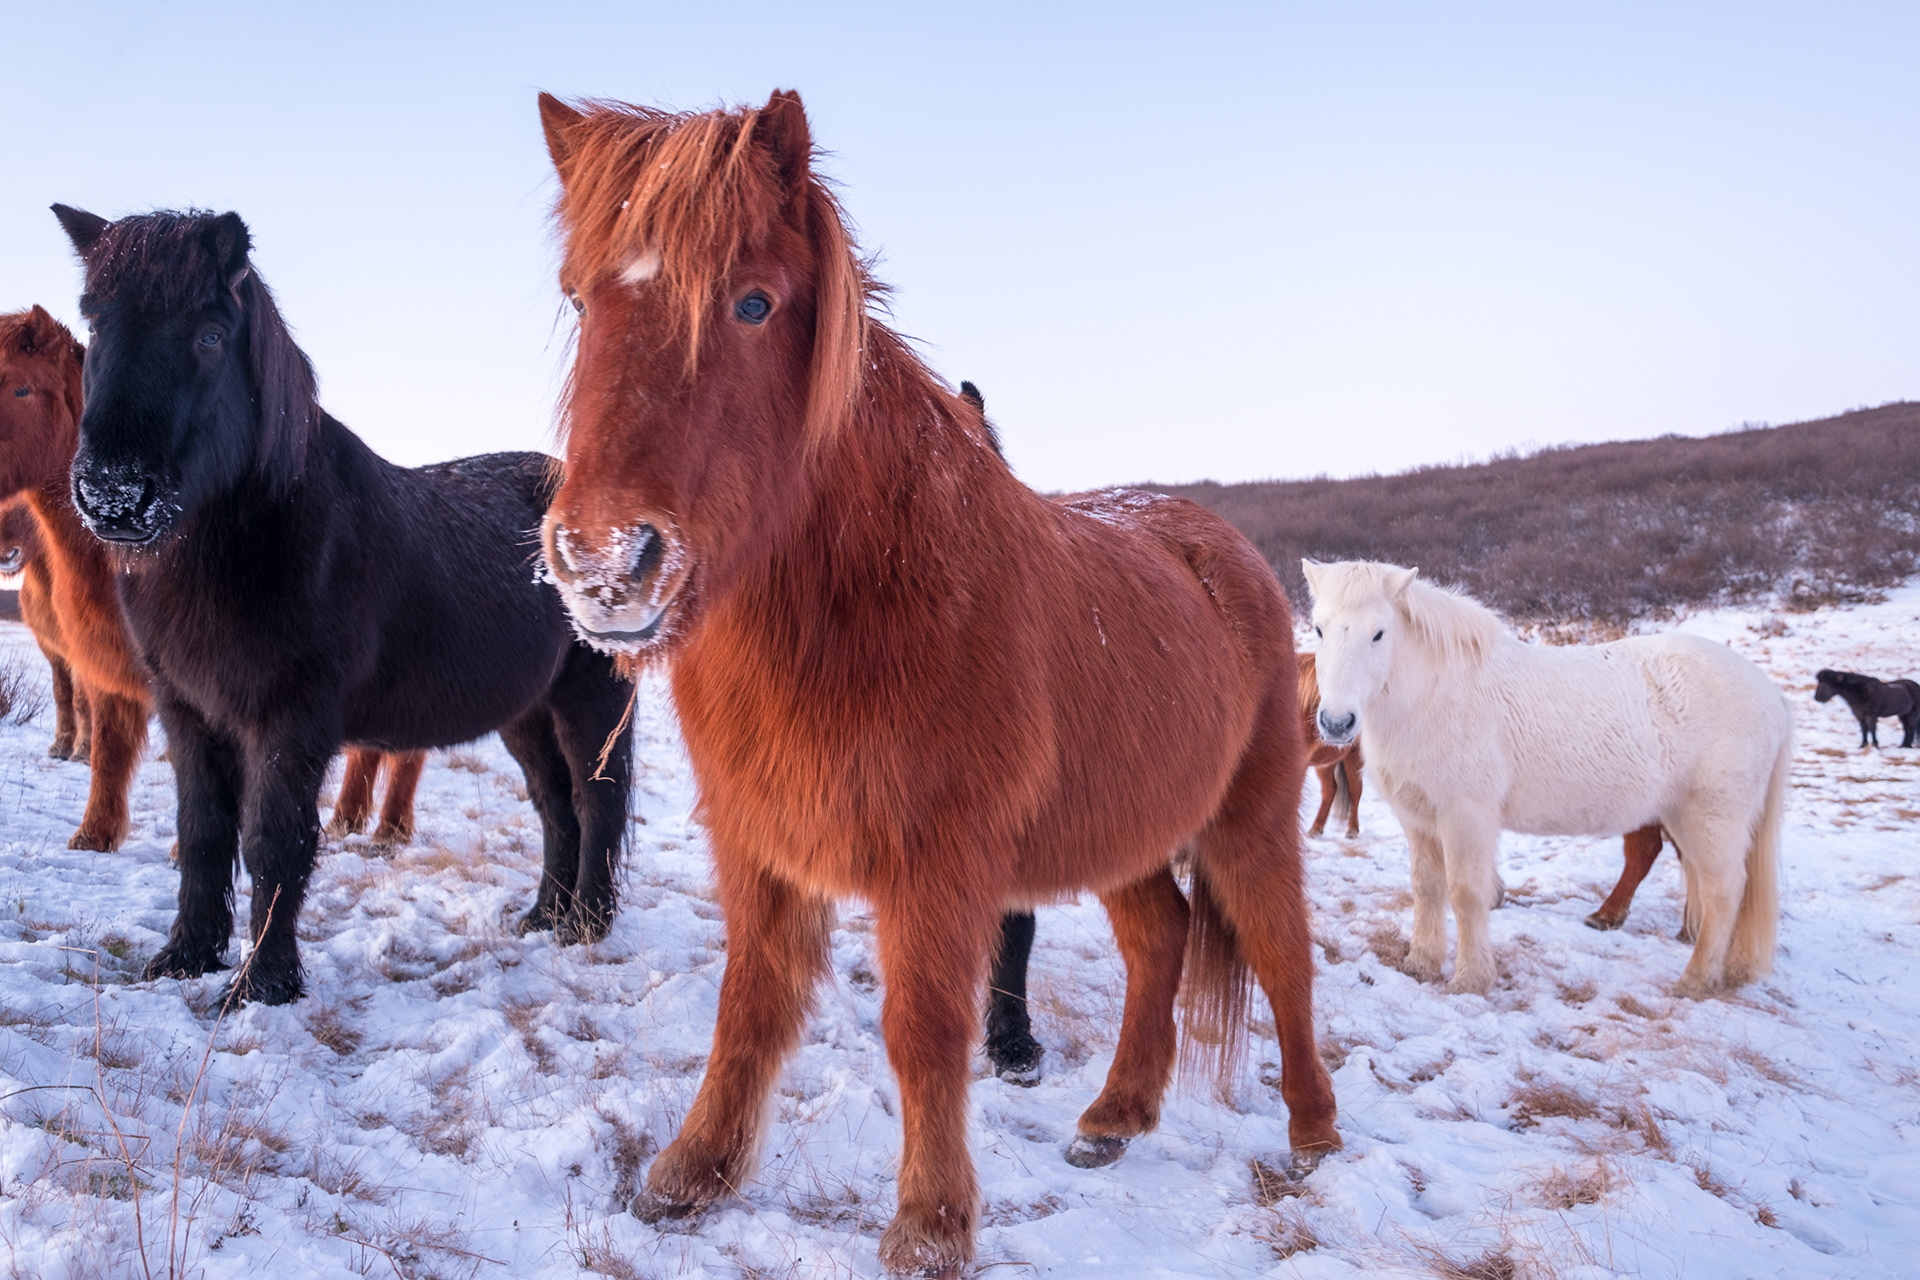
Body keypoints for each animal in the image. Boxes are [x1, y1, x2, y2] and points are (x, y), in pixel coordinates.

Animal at [0, 495, 92, 759]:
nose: (5, 555)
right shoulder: (53, 650)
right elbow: (62, 695)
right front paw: (60, 746)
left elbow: (82, 700)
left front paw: (83, 751)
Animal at [53, 206, 637, 1006]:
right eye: (95, 321)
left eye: (209, 335)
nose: (113, 493)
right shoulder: (188, 710)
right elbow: (202, 834)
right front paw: (183, 958)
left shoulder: (290, 719)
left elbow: (273, 842)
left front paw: (261, 988)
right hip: (526, 711)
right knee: (556, 804)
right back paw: (543, 917)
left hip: (589, 697)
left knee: (596, 800)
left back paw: (585, 926)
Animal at [534, 91, 1339, 1273]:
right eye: (581, 298)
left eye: (754, 302)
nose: (602, 561)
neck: (875, 603)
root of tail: (1217, 545)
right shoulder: (758, 845)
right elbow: (749, 1004)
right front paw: (694, 1171)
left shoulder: (936, 867)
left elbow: (923, 1031)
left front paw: (929, 1224)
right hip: (1123, 828)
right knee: (1160, 938)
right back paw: (1115, 1117)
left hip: (1252, 818)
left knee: (1281, 954)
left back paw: (1313, 1132)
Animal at [1296, 652, 1363, 838]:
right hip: (1324, 762)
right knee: (1330, 789)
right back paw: (1316, 828)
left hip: (1354, 757)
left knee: (1356, 789)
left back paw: (1352, 829)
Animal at [1304, 560, 1789, 998]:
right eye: (1319, 629)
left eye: (1379, 633)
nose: (1337, 722)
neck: (1437, 696)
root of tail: (1771, 694)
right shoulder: (1420, 818)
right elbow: (1426, 888)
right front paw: (1420, 964)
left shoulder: (1466, 817)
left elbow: (1465, 893)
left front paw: (1470, 980)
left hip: (1712, 819)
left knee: (1724, 891)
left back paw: (1695, 980)